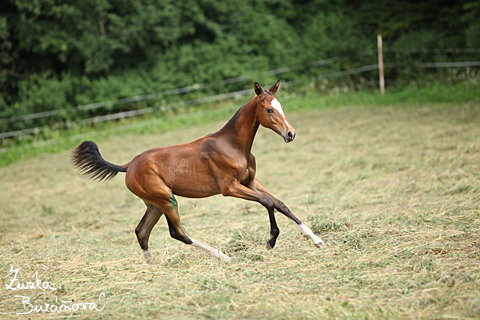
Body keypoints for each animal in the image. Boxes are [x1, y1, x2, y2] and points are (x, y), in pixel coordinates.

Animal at [72, 81, 326, 266]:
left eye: (281, 106)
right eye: (269, 109)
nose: (291, 134)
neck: (233, 145)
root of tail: (128, 165)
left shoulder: (250, 181)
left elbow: (280, 203)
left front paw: (316, 239)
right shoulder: (230, 188)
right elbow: (267, 202)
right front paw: (271, 241)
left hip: (154, 203)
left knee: (141, 232)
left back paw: (152, 267)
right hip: (167, 200)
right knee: (178, 233)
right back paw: (223, 256)